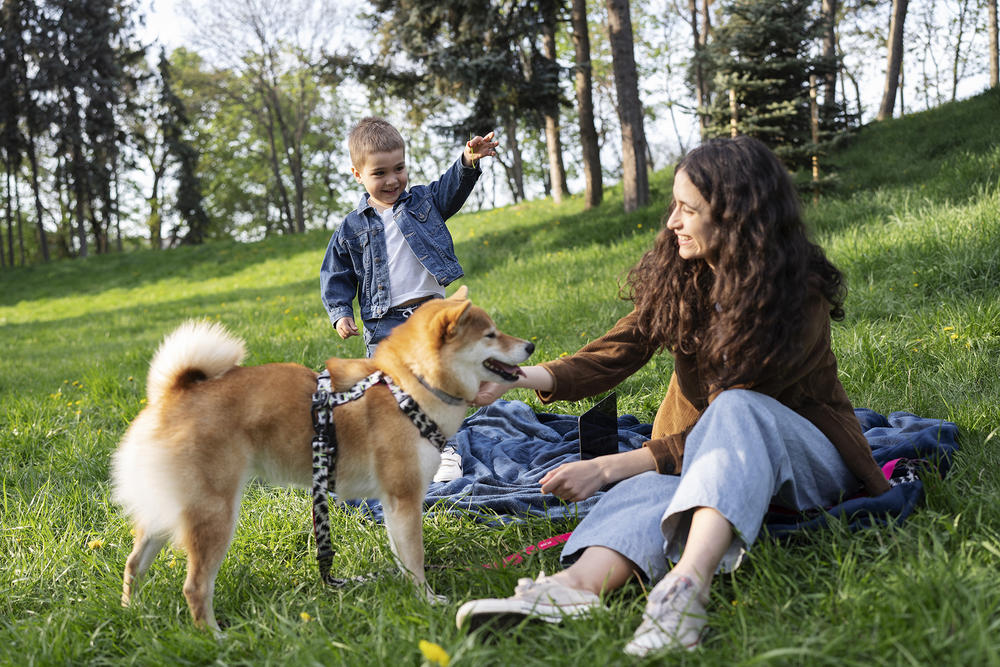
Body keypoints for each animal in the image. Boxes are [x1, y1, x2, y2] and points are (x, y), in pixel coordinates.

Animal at [110, 288, 536, 632]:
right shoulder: (405, 496)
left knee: (134, 563)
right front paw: (428, 602)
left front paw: (412, 593)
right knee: (195, 587)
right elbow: (415, 559)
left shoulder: (392, 502)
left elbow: (403, 556)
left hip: (169, 510)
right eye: (490, 334)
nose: (531, 346)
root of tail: (173, 393)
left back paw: (132, 612)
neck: (408, 386)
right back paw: (215, 637)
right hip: (214, 514)